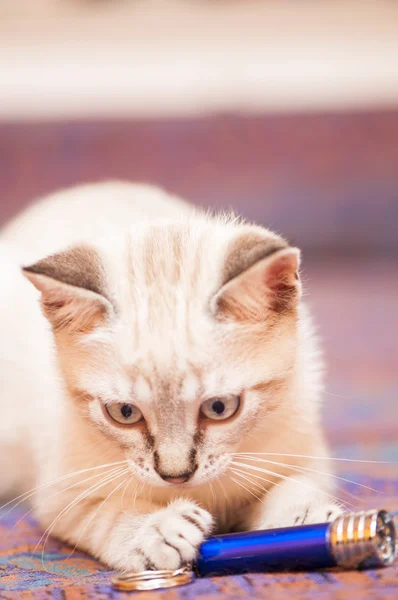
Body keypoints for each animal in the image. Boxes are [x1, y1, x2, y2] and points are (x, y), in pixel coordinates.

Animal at [0, 182, 340, 572]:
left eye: (220, 407)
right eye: (124, 413)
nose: (175, 475)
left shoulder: (304, 450)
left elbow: (296, 484)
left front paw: (304, 519)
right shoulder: (61, 495)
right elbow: (108, 514)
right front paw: (158, 530)